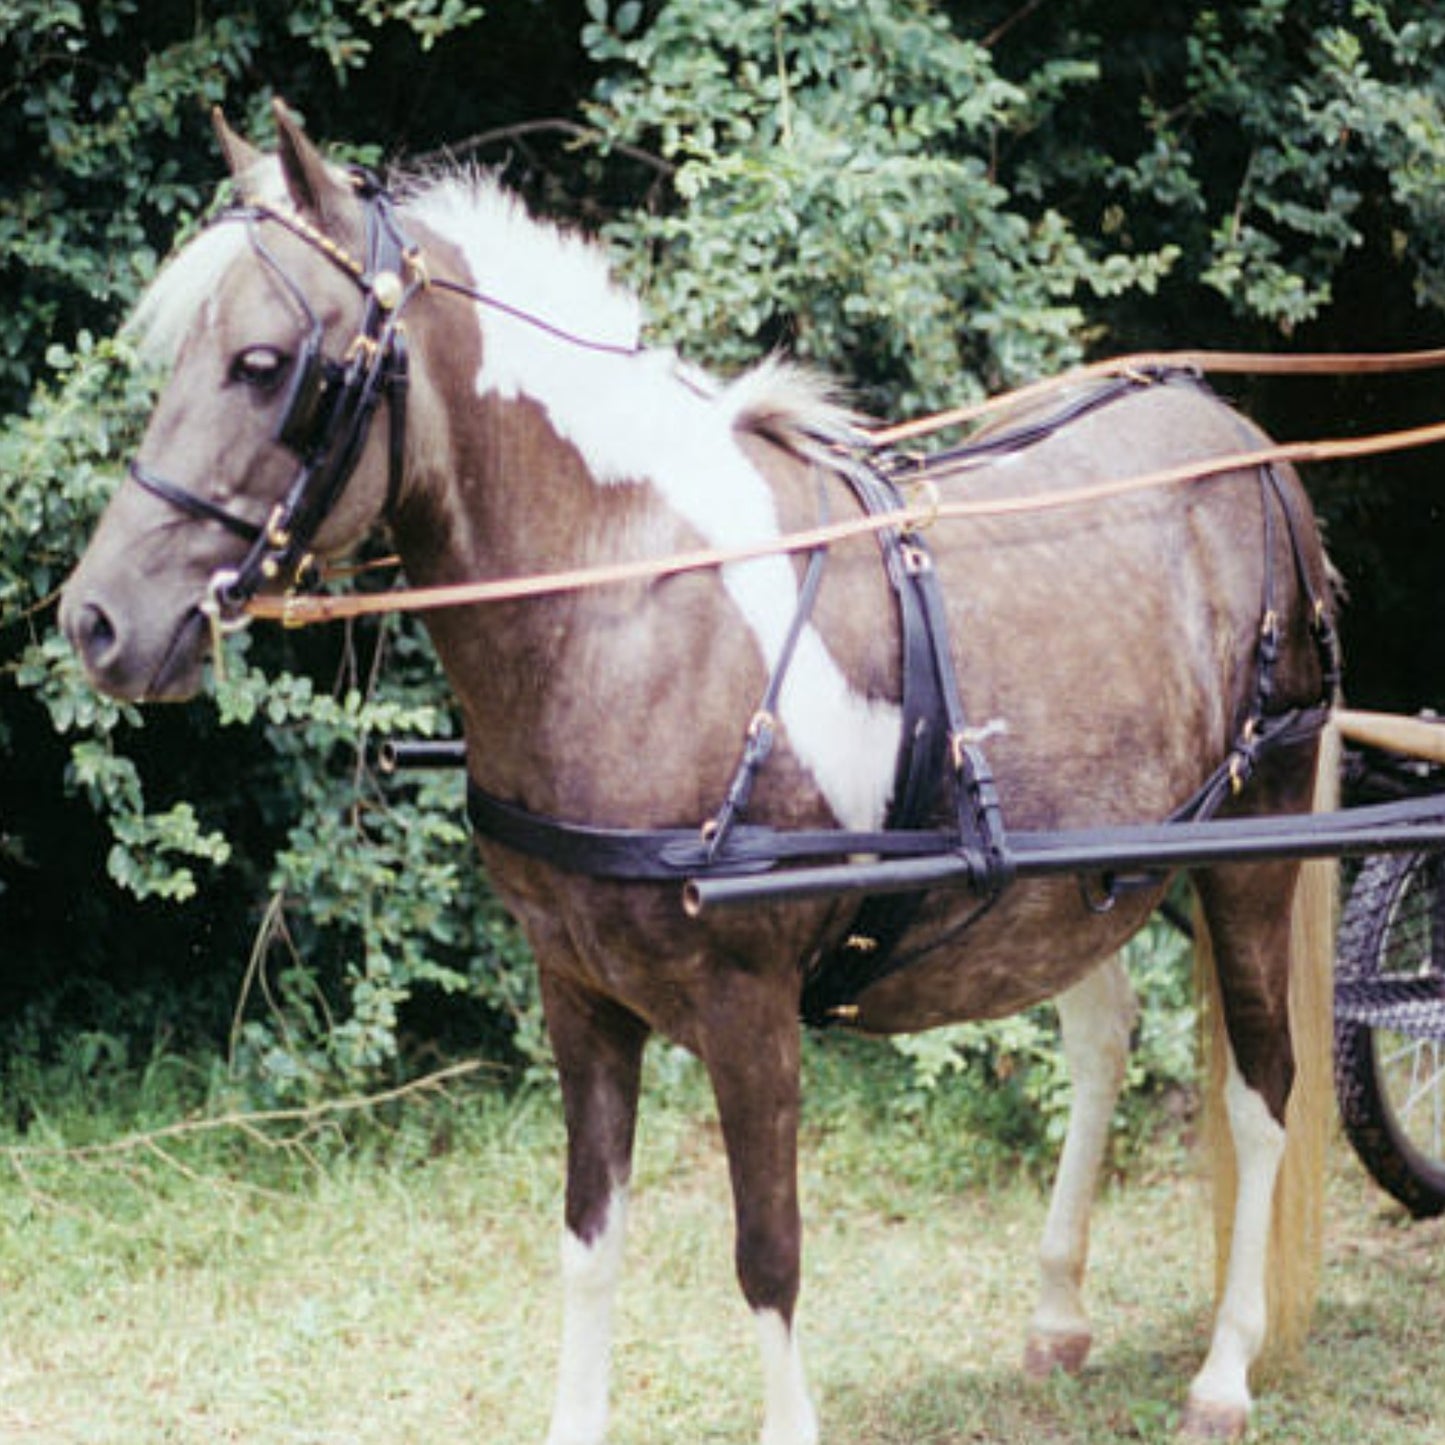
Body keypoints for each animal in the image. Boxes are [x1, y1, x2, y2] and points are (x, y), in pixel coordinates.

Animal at [62, 104, 1335, 1445]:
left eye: (264, 364)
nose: (97, 619)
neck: (625, 603)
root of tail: (1242, 441)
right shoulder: (575, 989)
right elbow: (589, 1243)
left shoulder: (746, 1000)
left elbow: (765, 1253)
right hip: (1072, 878)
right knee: (1098, 1039)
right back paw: (1055, 1312)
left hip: (1251, 844)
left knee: (1262, 1088)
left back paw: (1224, 1366)